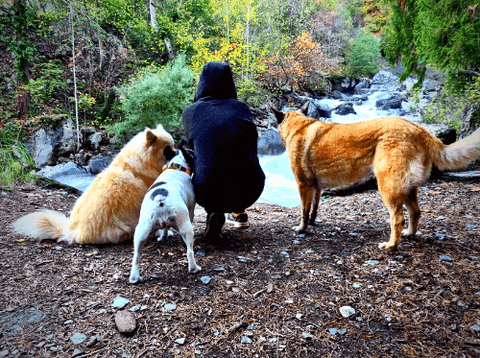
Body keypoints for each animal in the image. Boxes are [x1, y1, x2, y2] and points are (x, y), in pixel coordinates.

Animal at [129, 144, 201, 284]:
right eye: (192, 153)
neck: (177, 166)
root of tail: (161, 200)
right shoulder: (191, 209)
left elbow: (165, 228)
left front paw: (163, 237)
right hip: (185, 226)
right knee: (190, 251)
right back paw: (194, 268)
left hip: (142, 231)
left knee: (136, 256)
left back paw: (135, 278)